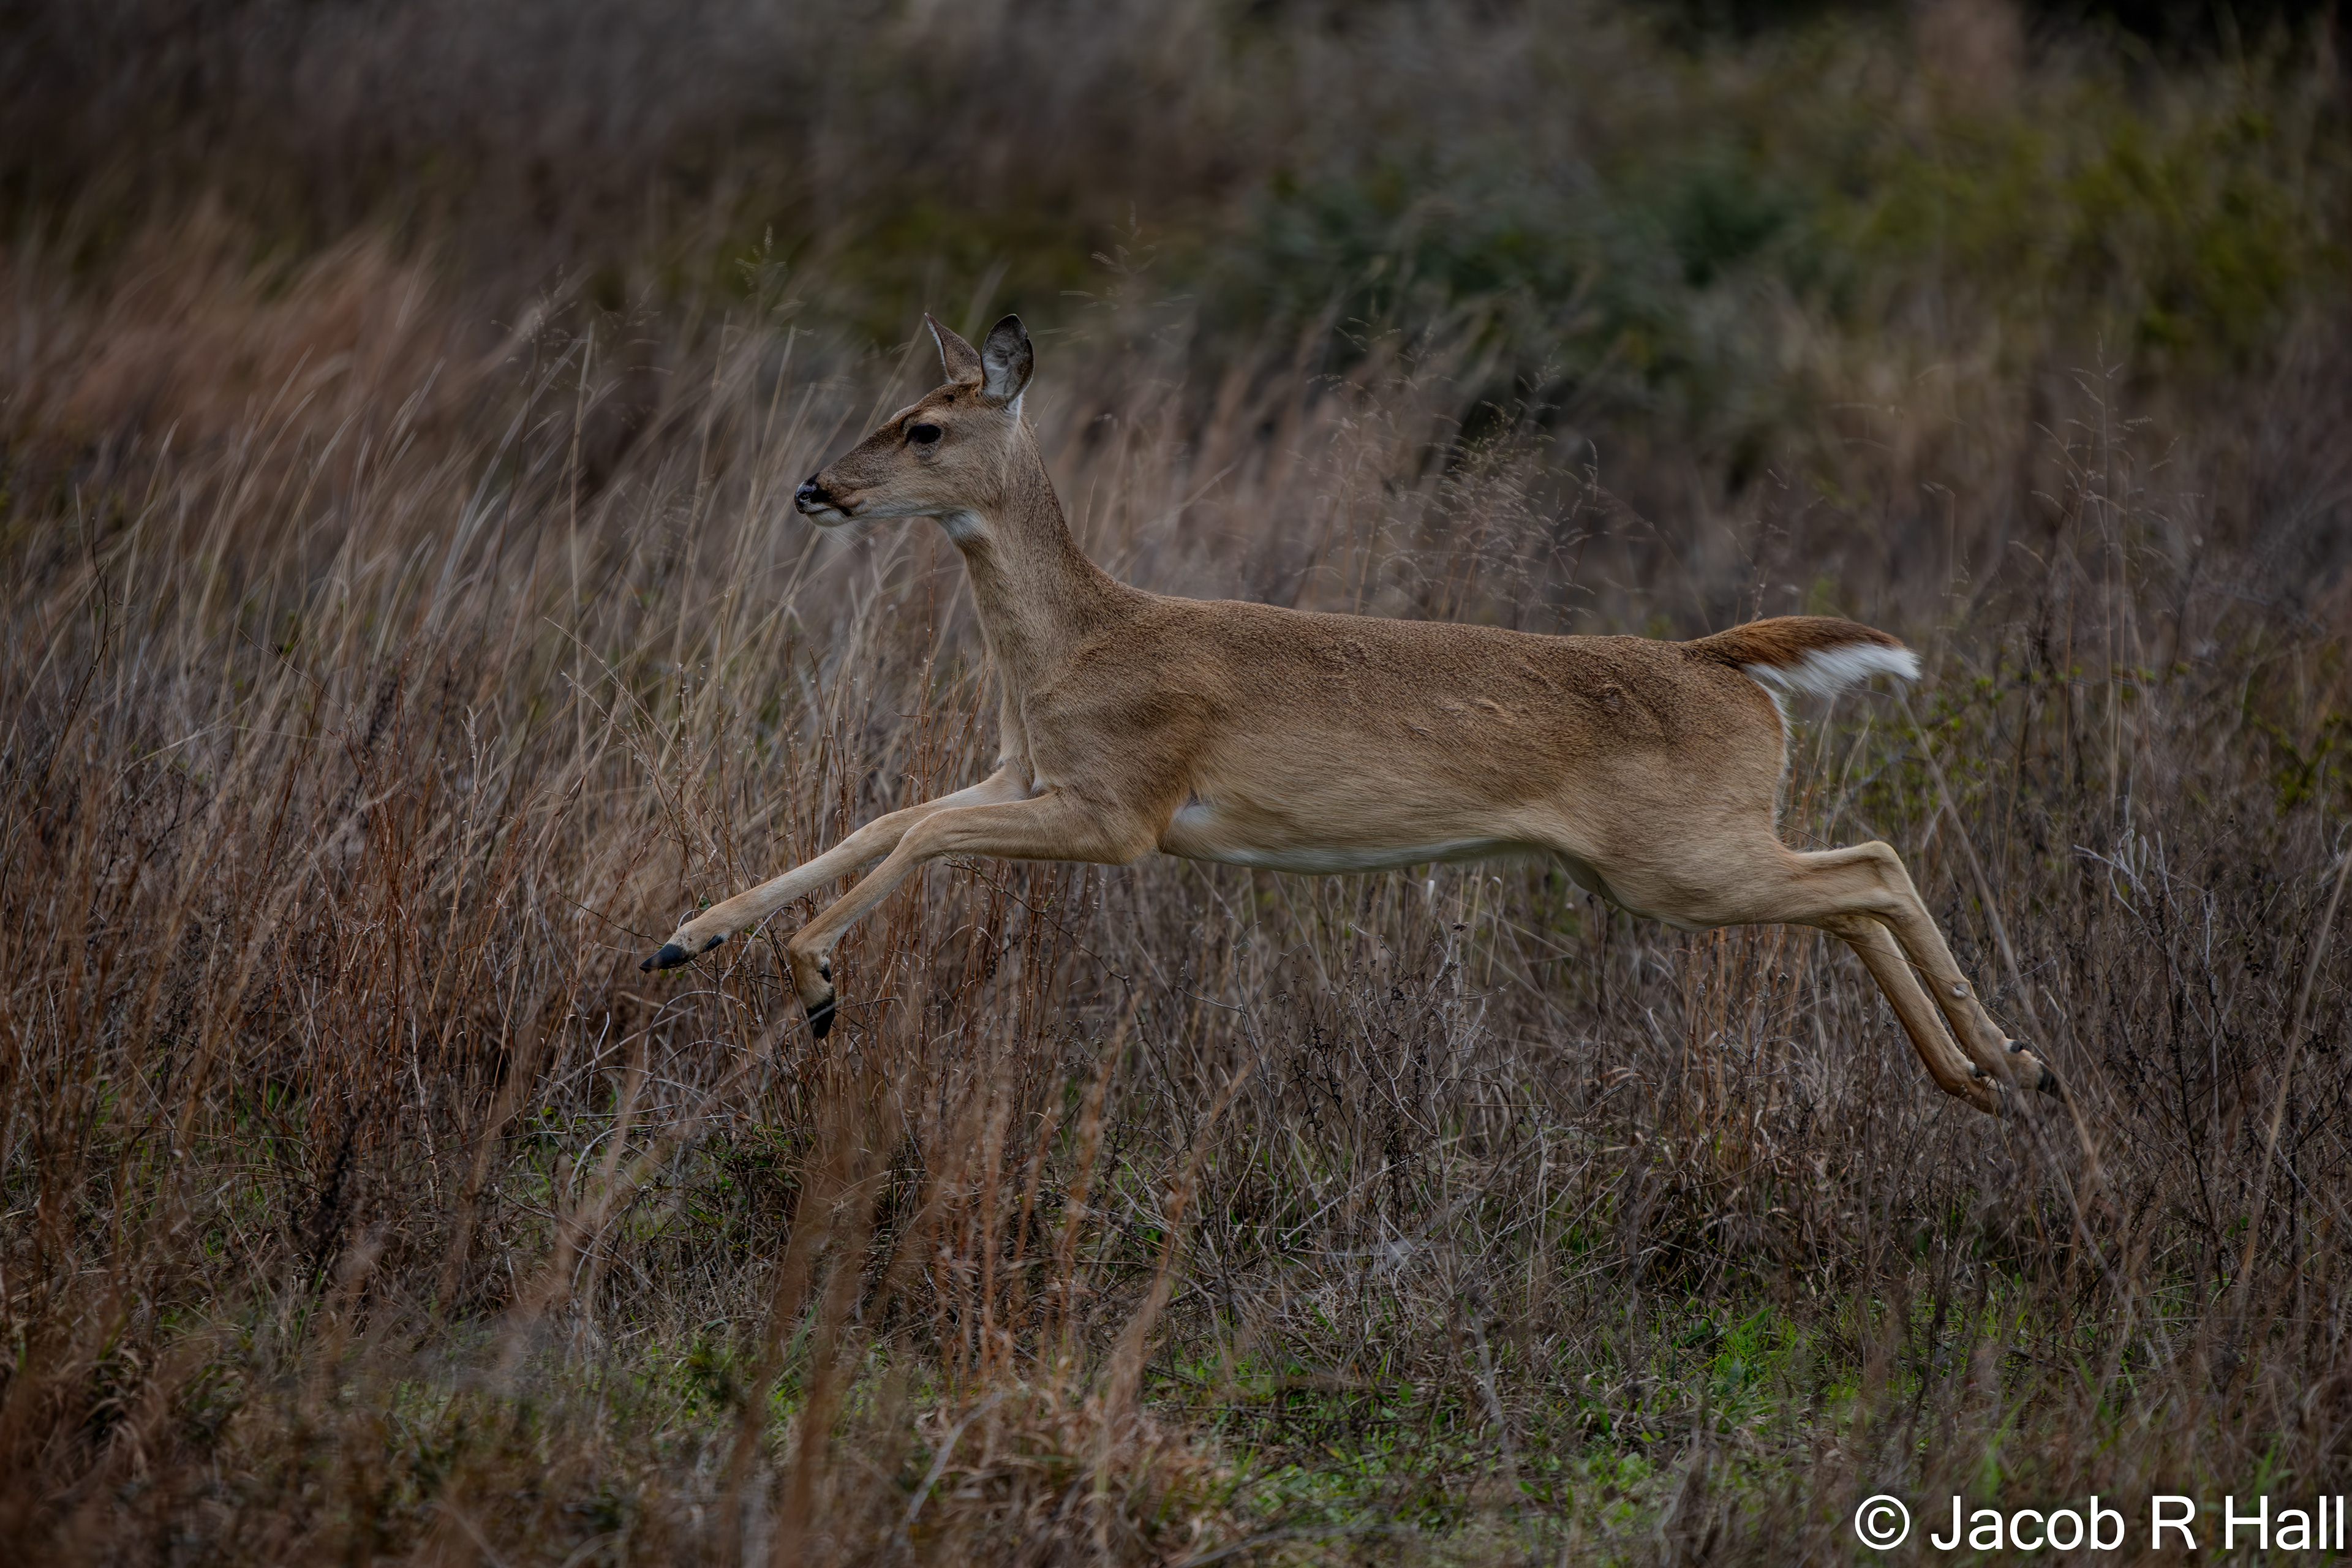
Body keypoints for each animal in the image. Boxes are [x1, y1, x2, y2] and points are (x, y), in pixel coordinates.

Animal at [642, 313, 2057, 1114]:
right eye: (891, 409)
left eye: (926, 427)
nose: (815, 487)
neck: (1082, 641)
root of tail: (1724, 663)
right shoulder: (1027, 771)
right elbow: (886, 817)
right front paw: (686, 938)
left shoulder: (1125, 812)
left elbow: (922, 834)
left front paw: (817, 982)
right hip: (1680, 863)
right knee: (1854, 888)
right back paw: (1985, 1080)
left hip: (1682, 861)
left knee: (1872, 865)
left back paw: (2013, 1064)